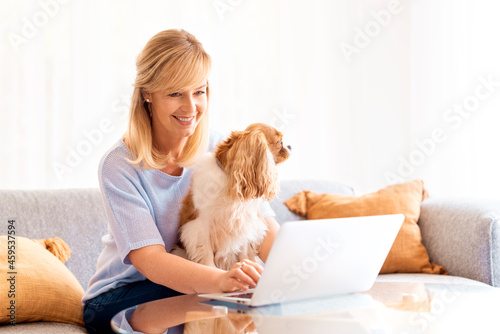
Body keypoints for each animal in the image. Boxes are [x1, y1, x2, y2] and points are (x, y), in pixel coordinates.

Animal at [178, 124, 292, 270]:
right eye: (279, 142)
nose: (290, 146)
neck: (231, 181)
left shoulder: (243, 222)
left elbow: (243, 249)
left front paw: (245, 264)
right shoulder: (199, 225)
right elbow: (207, 253)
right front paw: (212, 268)